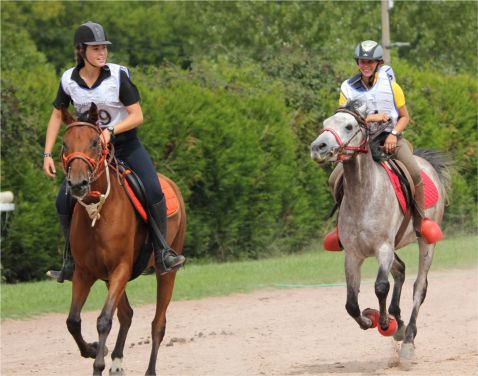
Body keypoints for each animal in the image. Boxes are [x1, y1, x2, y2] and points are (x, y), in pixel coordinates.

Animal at [59, 103, 185, 376]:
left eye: (95, 142)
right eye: (64, 143)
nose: (77, 184)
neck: (98, 213)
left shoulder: (120, 268)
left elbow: (104, 320)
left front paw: (98, 364)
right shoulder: (84, 272)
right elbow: (73, 321)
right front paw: (95, 349)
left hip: (166, 272)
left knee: (158, 323)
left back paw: (149, 371)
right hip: (109, 278)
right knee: (126, 314)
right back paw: (116, 362)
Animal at [310, 101, 448, 360]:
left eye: (349, 126)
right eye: (325, 124)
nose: (317, 147)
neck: (364, 195)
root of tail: (427, 164)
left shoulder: (383, 248)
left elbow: (381, 287)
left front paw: (385, 324)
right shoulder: (353, 255)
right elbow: (351, 303)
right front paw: (369, 320)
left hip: (425, 243)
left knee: (419, 288)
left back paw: (407, 339)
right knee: (400, 270)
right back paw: (400, 324)